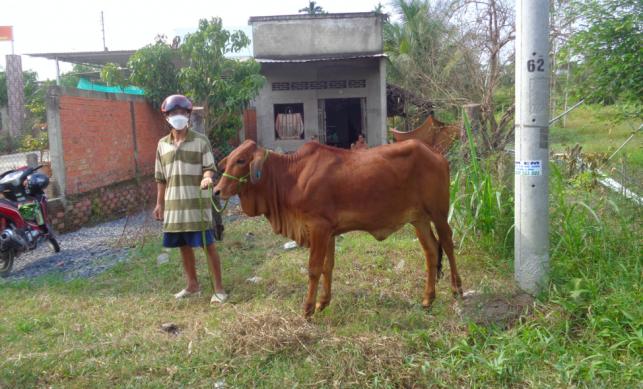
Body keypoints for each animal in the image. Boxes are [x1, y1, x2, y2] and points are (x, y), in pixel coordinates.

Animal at [215, 139, 462, 316]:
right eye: (228, 160)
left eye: (241, 160)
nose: (216, 191)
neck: (292, 176)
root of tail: (437, 155)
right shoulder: (329, 232)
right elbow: (328, 266)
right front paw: (322, 302)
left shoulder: (318, 228)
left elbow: (314, 268)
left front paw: (308, 309)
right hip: (419, 219)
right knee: (431, 251)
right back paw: (428, 298)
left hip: (439, 213)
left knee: (448, 244)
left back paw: (456, 288)